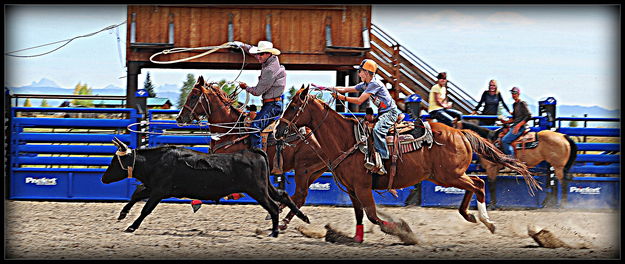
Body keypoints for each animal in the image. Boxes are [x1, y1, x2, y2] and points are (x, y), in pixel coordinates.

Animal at [173, 76, 324, 229]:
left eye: (194, 96)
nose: (179, 118)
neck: (231, 131)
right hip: (313, 171)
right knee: (299, 196)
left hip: (303, 169)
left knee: (300, 194)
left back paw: (283, 219)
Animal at [274, 86, 540, 243]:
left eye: (294, 106)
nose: (277, 131)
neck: (347, 140)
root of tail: (461, 133)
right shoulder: (352, 189)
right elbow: (360, 215)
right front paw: (357, 238)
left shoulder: (362, 187)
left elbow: (373, 215)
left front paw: (402, 230)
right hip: (446, 176)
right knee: (474, 183)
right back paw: (470, 216)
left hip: (450, 175)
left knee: (478, 184)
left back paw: (487, 221)